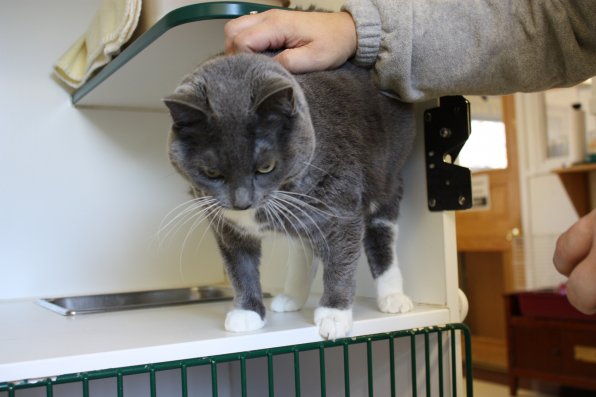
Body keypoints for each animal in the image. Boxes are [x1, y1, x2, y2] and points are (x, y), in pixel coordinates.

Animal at [163, 51, 414, 338]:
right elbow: (240, 268)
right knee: (304, 246)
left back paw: (393, 297)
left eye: (266, 167)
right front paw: (247, 312)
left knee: (382, 237)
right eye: (211, 173)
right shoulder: (225, 226)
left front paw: (334, 314)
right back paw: (292, 297)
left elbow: (342, 260)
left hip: (387, 179)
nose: (241, 202)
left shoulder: (342, 210)